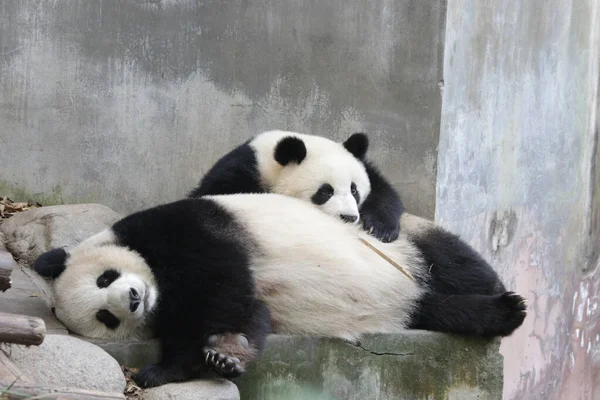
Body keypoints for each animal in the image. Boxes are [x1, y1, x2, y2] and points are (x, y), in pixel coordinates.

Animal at [32, 194, 524, 388]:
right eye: (106, 317)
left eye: (105, 279)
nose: (133, 300)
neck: (159, 285)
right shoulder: (172, 306)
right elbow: (246, 313)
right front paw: (211, 359)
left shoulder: (184, 230)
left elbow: (223, 289)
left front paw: (212, 355)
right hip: (407, 304)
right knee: (434, 308)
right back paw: (497, 314)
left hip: (401, 246)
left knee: (453, 263)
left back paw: (506, 299)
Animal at [190, 131, 404, 242]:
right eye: (325, 191)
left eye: (354, 190)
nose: (349, 217)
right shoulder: (240, 171)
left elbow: (384, 193)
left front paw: (380, 228)